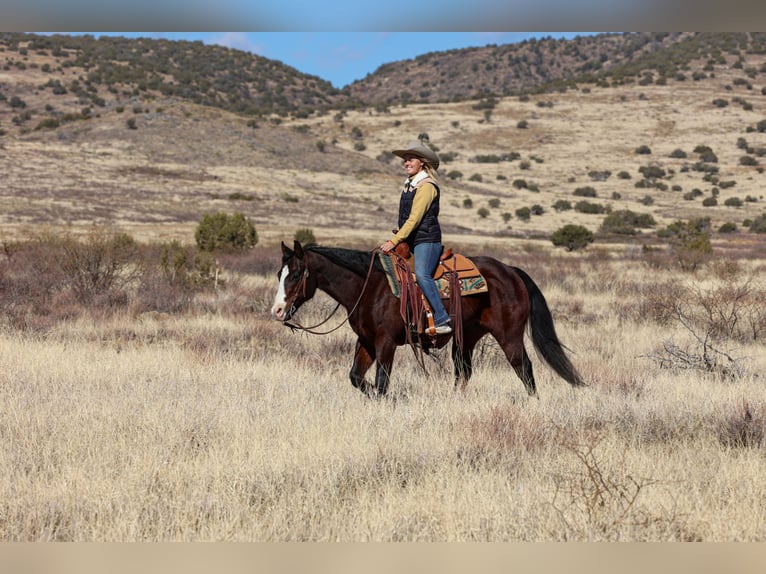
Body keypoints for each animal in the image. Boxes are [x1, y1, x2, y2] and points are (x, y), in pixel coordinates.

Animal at [272, 241, 584, 398]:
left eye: (296, 274)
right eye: (279, 273)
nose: (276, 310)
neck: (370, 285)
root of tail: (511, 270)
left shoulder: (386, 342)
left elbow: (382, 383)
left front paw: (388, 399)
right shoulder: (367, 341)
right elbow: (356, 378)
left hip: (509, 336)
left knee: (524, 369)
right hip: (466, 337)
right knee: (464, 372)